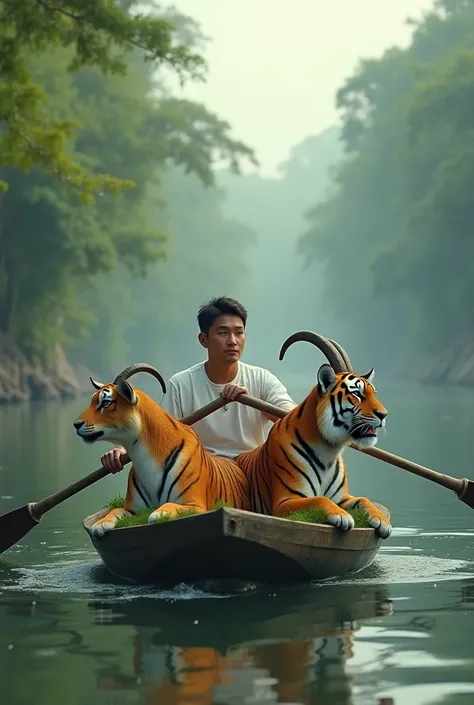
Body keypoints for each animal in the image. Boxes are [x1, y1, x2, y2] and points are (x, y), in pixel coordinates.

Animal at [72, 364, 250, 532]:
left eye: (106, 402)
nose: (76, 424)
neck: (143, 457)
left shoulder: (195, 504)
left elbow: (167, 506)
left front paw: (159, 513)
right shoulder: (132, 509)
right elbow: (114, 510)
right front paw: (100, 523)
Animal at [234, 332, 392, 536]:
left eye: (373, 393)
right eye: (357, 394)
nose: (383, 414)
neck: (330, 450)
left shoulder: (343, 498)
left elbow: (364, 499)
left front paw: (382, 520)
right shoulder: (286, 500)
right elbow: (319, 499)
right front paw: (342, 516)